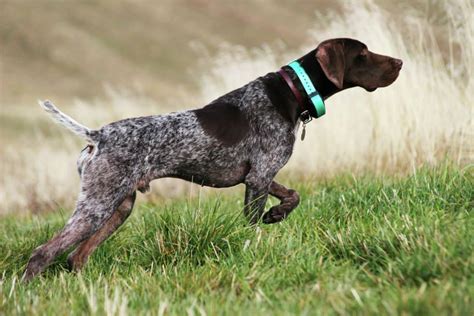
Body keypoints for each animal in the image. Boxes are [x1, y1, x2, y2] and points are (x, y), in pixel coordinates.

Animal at [21, 38, 400, 280]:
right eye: (363, 53)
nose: (399, 62)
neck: (293, 91)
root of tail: (97, 135)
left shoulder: (260, 174)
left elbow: (293, 196)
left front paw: (276, 214)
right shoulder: (259, 177)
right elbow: (251, 226)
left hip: (119, 206)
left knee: (76, 256)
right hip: (97, 205)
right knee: (44, 253)